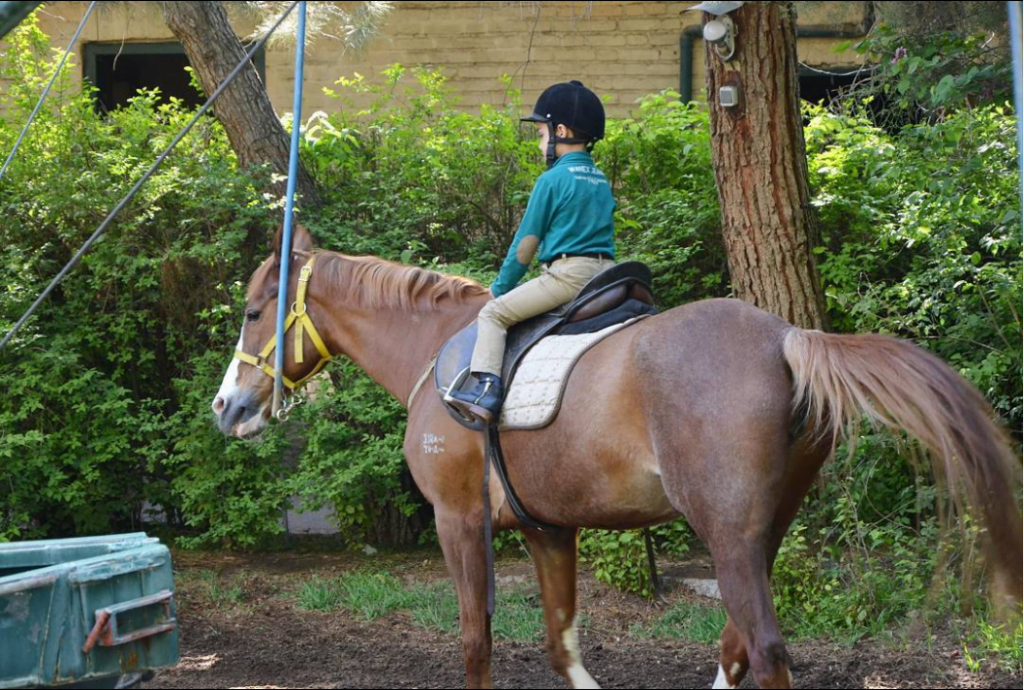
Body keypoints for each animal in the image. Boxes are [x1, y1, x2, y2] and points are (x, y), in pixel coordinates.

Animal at [211, 223, 1019, 683]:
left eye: (252, 313)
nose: (226, 408)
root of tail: (785, 336)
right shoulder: (549, 530)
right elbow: (560, 645)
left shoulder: (458, 522)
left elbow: (476, 642)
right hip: (759, 532)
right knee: (736, 646)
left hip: (727, 534)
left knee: (763, 650)